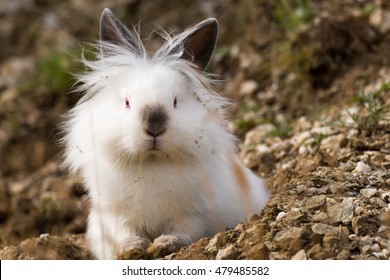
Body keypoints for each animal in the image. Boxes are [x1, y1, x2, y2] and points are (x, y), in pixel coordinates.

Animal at [62, 7, 270, 260]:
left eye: (175, 102)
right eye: (127, 102)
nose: (154, 127)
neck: (151, 163)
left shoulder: (195, 215)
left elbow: (184, 231)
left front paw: (164, 244)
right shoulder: (114, 216)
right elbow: (125, 233)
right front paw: (132, 249)